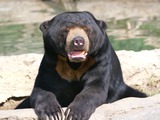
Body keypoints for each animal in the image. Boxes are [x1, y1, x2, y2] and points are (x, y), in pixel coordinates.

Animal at [15, 11, 146, 120]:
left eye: (87, 29)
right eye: (65, 30)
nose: (78, 41)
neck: (74, 64)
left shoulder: (99, 62)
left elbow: (94, 88)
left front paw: (74, 113)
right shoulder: (51, 65)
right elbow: (43, 89)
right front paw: (53, 113)